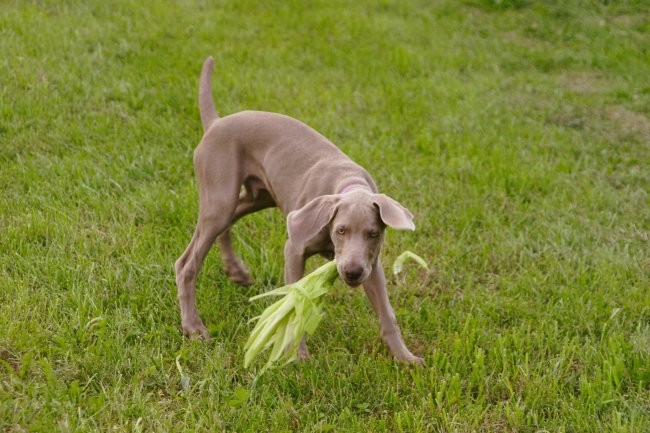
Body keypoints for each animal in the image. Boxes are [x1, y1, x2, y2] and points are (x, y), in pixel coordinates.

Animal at [175, 55, 422, 362]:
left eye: (374, 234)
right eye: (340, 230)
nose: (352, 273)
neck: (350, 185)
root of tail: (216, 123)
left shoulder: (372, 264)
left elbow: (387, 313)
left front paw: (405, 357)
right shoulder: (293, 249)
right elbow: (295, 303)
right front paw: (299, 355)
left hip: (256, 196)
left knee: (227, 224)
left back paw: (236, 271)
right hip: (219, 196)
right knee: (187, 263)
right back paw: (194, 327)